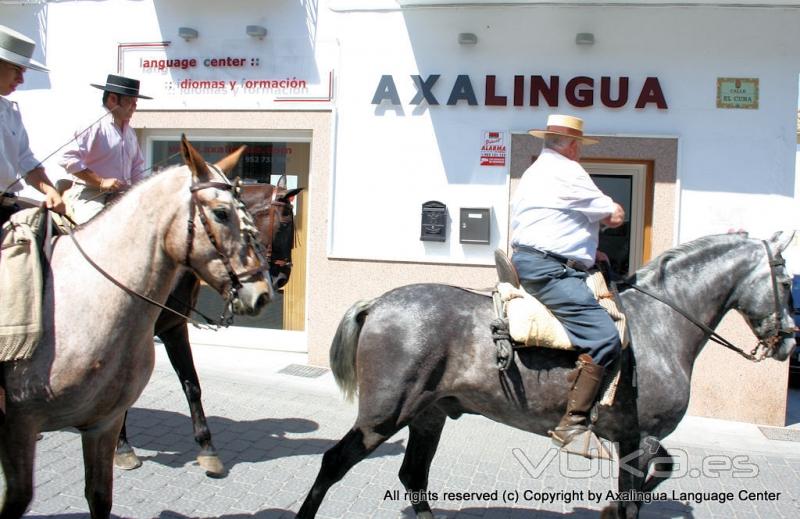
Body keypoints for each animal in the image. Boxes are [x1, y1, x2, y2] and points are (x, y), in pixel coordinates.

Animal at [298, 233, 792, 519]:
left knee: (414, 478)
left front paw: (609, 508)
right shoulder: (646, 437)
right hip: (384, 416)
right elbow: (634, 499)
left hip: (428, 415)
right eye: (787, 283)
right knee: (335, 463)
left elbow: (656, 475)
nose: (789, 339)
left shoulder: (636, 437)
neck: (659, 323)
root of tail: (379, 303)